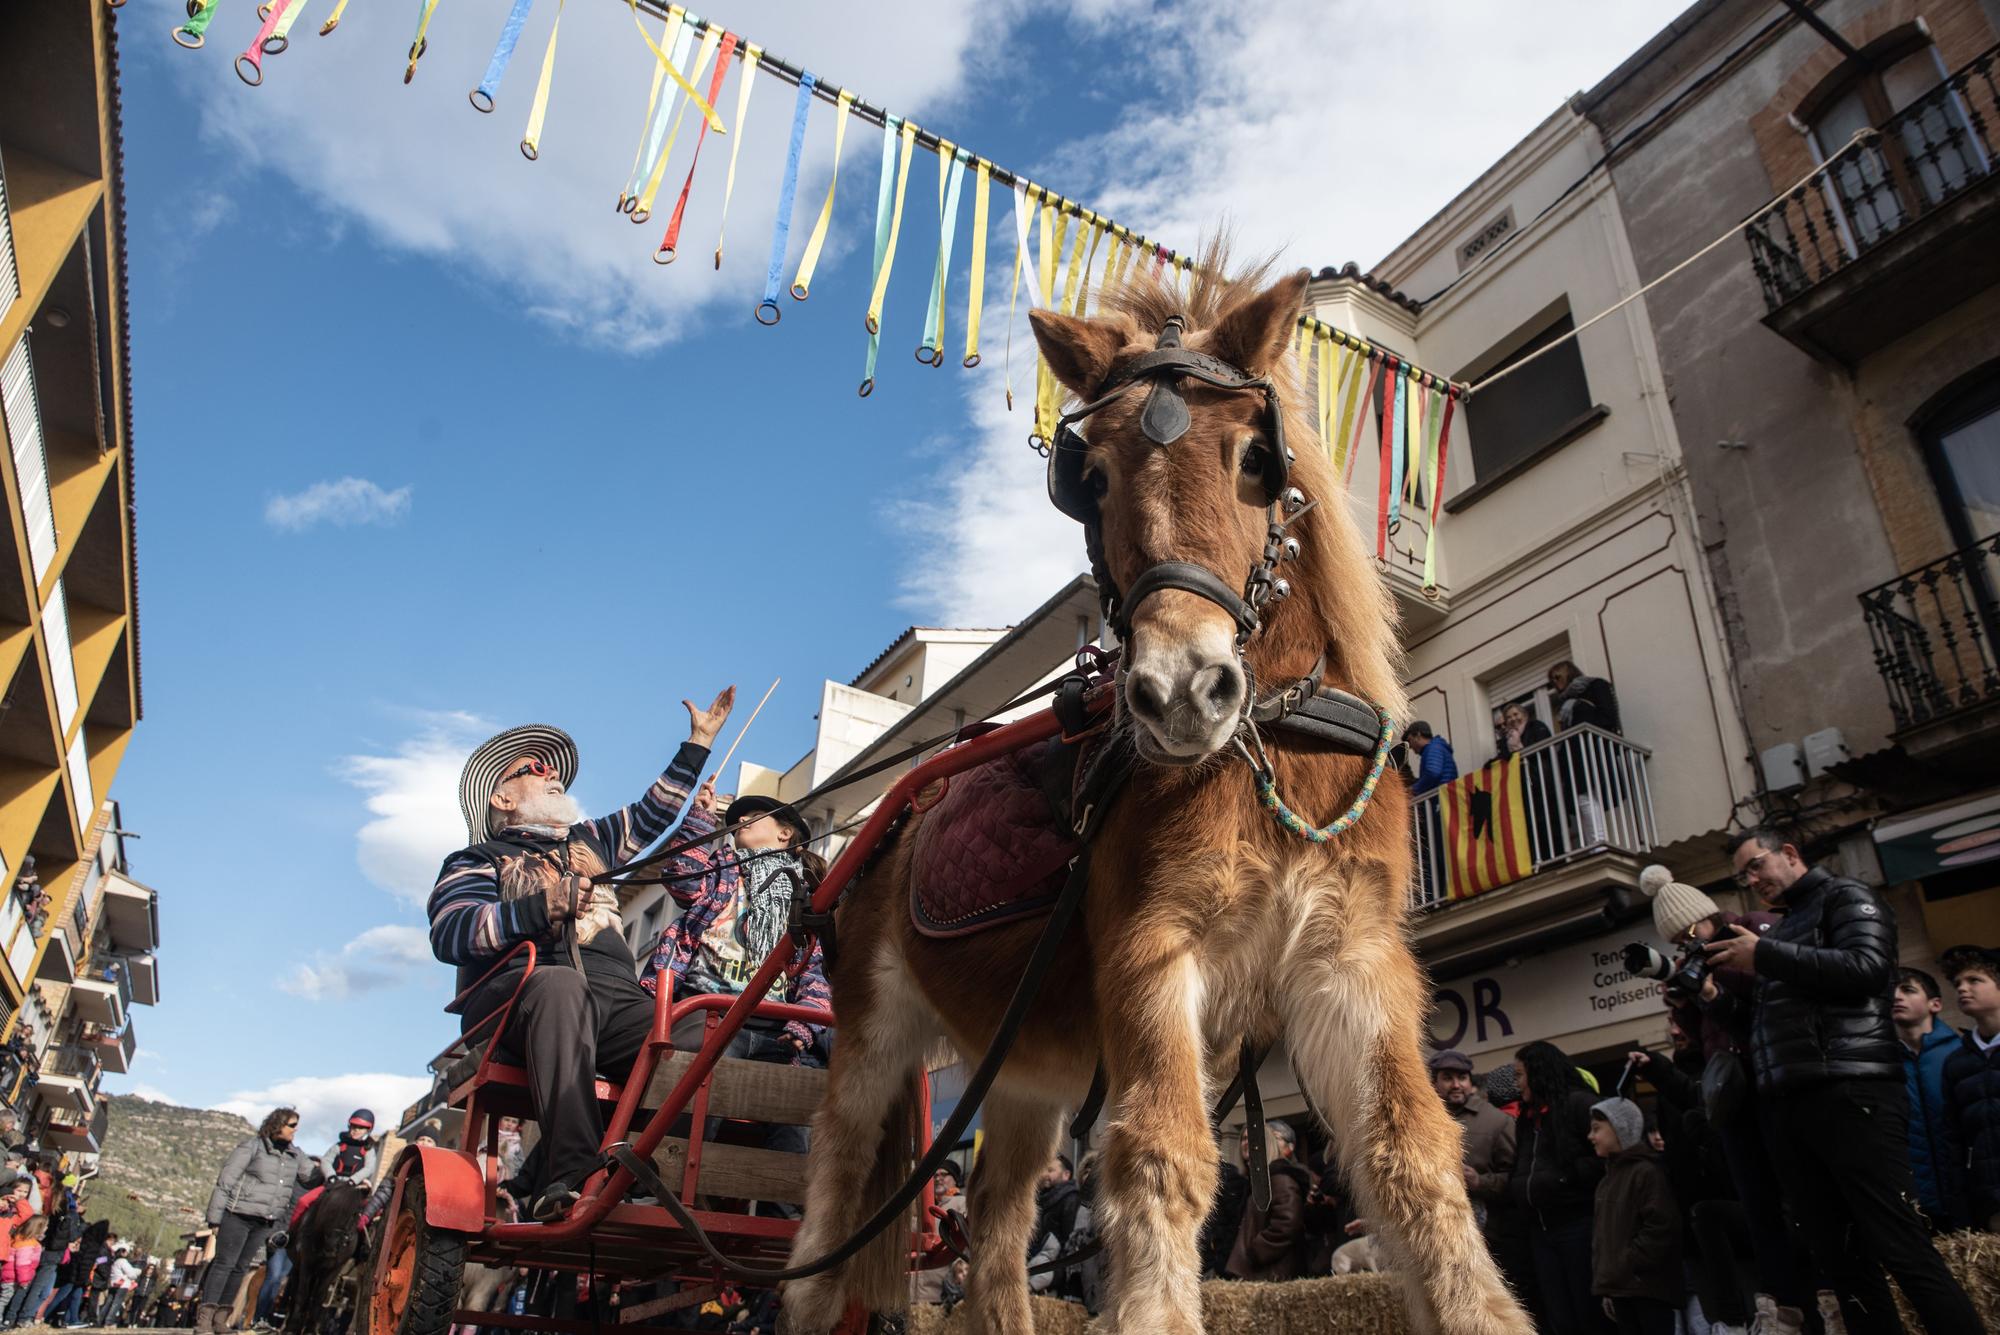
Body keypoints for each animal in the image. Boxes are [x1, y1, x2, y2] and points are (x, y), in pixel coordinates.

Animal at [772, 249, 1520, 1335]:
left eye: (1255, 457)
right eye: (1087, 479)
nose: (1179, 690)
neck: (1270, 747)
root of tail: (884, 830)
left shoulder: (1353, 962)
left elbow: (1410, 1157)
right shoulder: (1149, 952)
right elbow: (1163, 1158)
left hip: (1022, 1066)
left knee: (997, 1220)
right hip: (871, 1042)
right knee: (830, 1212)